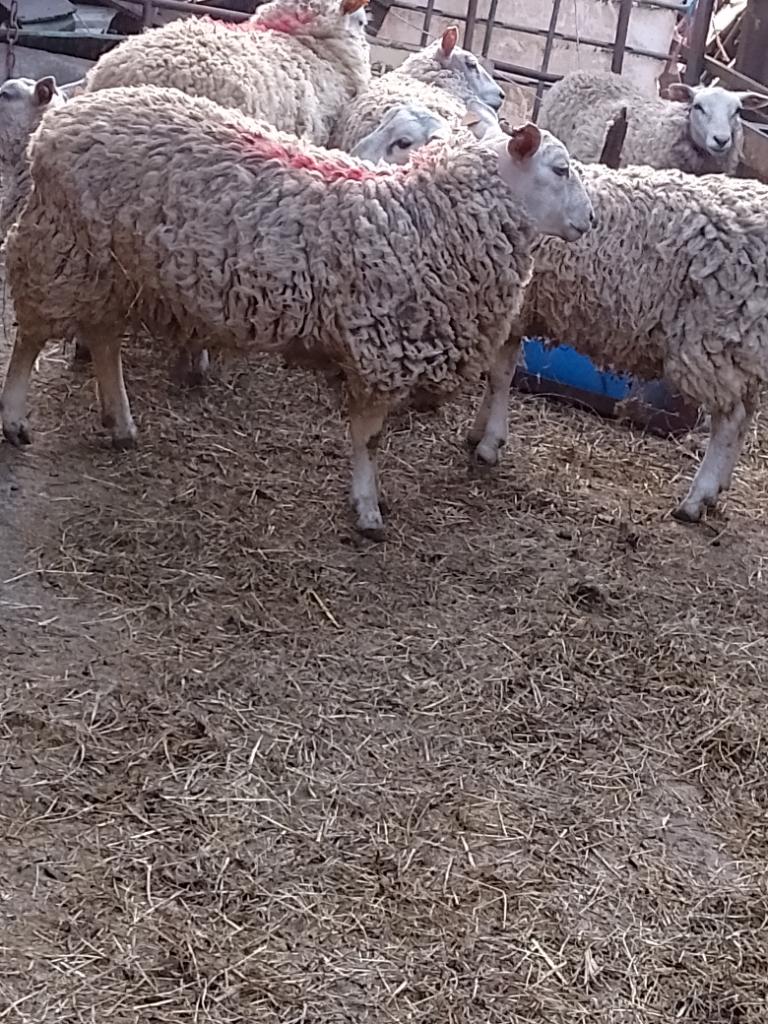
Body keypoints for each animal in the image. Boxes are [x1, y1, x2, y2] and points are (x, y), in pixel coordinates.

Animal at [1, 85, 593, 539]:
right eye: (561, 169)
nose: (587, 221)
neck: (426, 214)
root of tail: (60, 121)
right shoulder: (379, 353)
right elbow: (368, 438)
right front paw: (367, 510)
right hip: (61, 248)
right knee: (30, 337)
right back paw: (15, 419)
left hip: (113, 270)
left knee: (103, 339)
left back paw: (120, 424)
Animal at [467, 159, 768, 523]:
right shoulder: (511, 316)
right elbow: (498, 376)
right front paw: (478, 431)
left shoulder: (511, 307)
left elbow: (499, 378)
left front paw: (489, 443)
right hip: (742, 345)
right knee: (746, 414)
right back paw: (718, 488)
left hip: (714, 341)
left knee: (729, 420)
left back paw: (697, 498)